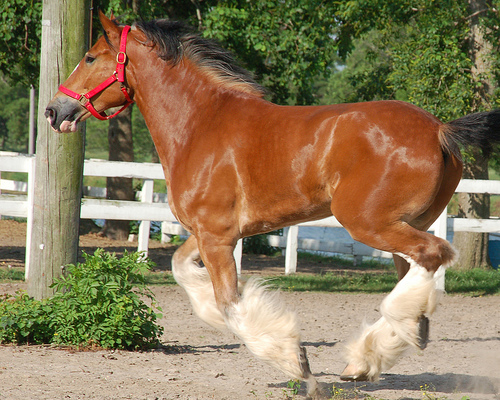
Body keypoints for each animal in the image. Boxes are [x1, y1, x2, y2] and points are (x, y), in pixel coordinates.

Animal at [46, 12, 500, 396]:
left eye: (90, 56)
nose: (53, 110)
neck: (199, 124)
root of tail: (440, 129)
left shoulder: (215, 236)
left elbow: (229, 304)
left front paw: (299, 366)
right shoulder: (213, 233)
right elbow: (184, 272)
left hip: (369, 223)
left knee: (433, 255)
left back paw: (375, 350)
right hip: (401, 225)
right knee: (417, 274)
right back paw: (372, 356)